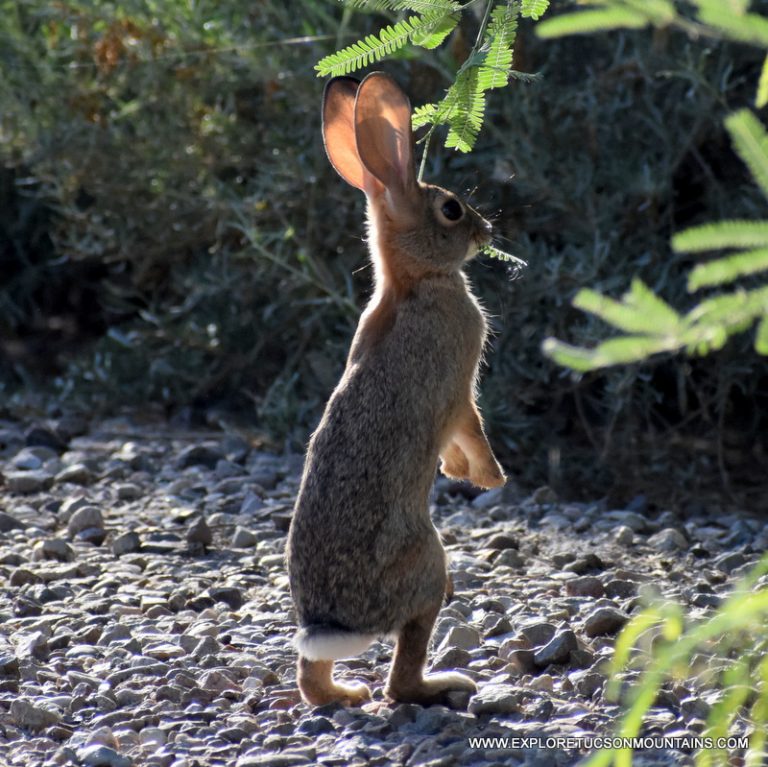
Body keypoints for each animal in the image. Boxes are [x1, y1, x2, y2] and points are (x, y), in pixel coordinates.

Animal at [284, 72, 508, 708]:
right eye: (451, 209)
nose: (485, 231)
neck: (414, 282)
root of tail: (336, 624)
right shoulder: (459, 392)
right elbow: (471, 428)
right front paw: (489, 478)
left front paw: (461, 473)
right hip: (427, 566)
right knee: (403, 674)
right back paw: (445, 684)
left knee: (311, 679)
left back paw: (343, 695)